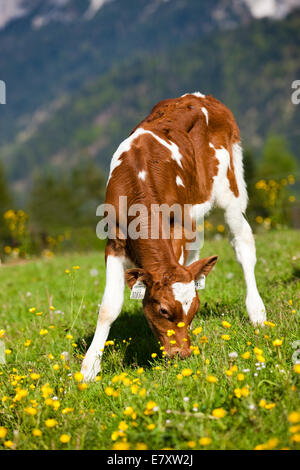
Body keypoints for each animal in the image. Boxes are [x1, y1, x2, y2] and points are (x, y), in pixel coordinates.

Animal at [81, 92, 266, 382]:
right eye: (163, 310)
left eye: (193, 310)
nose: (183, 354)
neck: (139, 177)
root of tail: (200, 96)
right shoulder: (114, 241)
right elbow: (108, 307)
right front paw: (89, 368)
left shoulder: (175, 231)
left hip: (230, 188)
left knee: (243, 245)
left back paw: (257, 312)